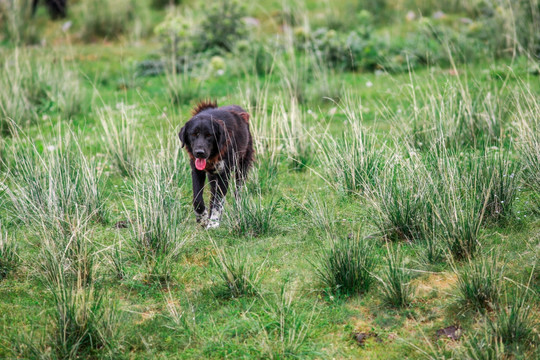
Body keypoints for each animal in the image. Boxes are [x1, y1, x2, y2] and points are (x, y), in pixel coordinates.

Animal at [178, 100, 252, 228]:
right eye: (194, 134)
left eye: (209, 135)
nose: (200, 153)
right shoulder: (197, 171)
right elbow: (197, 198)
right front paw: (202, 218)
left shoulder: (224, 174)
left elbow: (219, 200)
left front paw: (213, 222)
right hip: (212, 176)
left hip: (241, 166)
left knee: (238, 191)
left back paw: (238, 210)